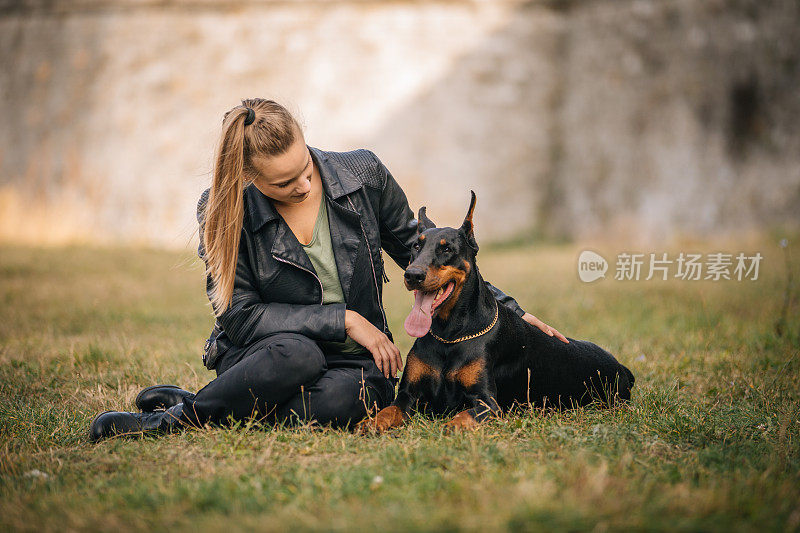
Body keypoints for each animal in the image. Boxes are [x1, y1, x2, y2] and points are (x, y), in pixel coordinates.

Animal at [360, 191, 636, 432]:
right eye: (416, 247)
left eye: (446, 249)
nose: (412, 275)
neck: (449, 334)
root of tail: (621, 367)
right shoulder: (409, 394)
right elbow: (388, 410)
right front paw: (371, 423)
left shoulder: (488, 402)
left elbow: (462, 416)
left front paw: (449, 426)